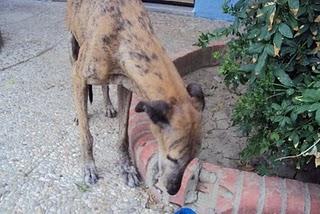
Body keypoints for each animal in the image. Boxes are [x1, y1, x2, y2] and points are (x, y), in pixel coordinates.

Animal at [67, 0, 205, 196]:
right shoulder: (80, 76)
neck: (124, 29)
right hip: (73, 47)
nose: (172, 190)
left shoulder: (125, 85)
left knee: (104, 85)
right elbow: (87, 135)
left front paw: (127, 168)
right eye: (172, 158)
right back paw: (80, 115)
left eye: (193, 158)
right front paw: (89, 166)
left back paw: (108, 106)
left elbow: (123, 135)